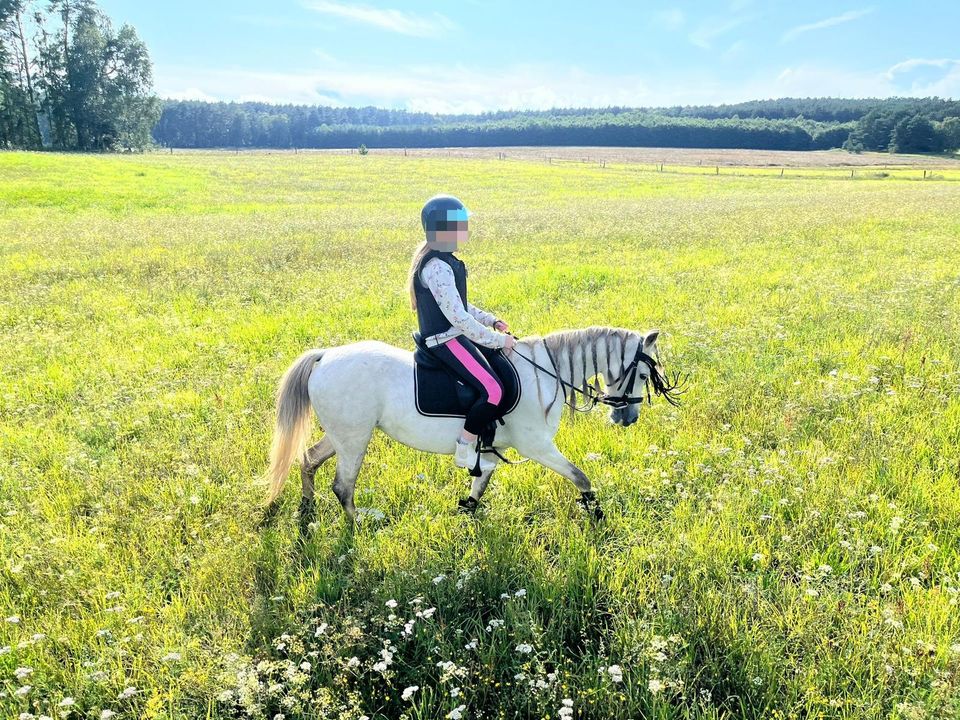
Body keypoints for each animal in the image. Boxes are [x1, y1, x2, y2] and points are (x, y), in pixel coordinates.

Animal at [260, 326, 676, 524]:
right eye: (642, 374)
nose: (627, 418)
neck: (544, 373)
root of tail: (325, 356)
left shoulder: (496, 446)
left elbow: (480, 482)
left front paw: (465, 513)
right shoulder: (537, 447)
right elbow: (580, 477)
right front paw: (597, 516)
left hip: (343, 434)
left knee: (308, 460)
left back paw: (306, 511)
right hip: (354, 439)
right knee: (343, 486)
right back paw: (357, 527)